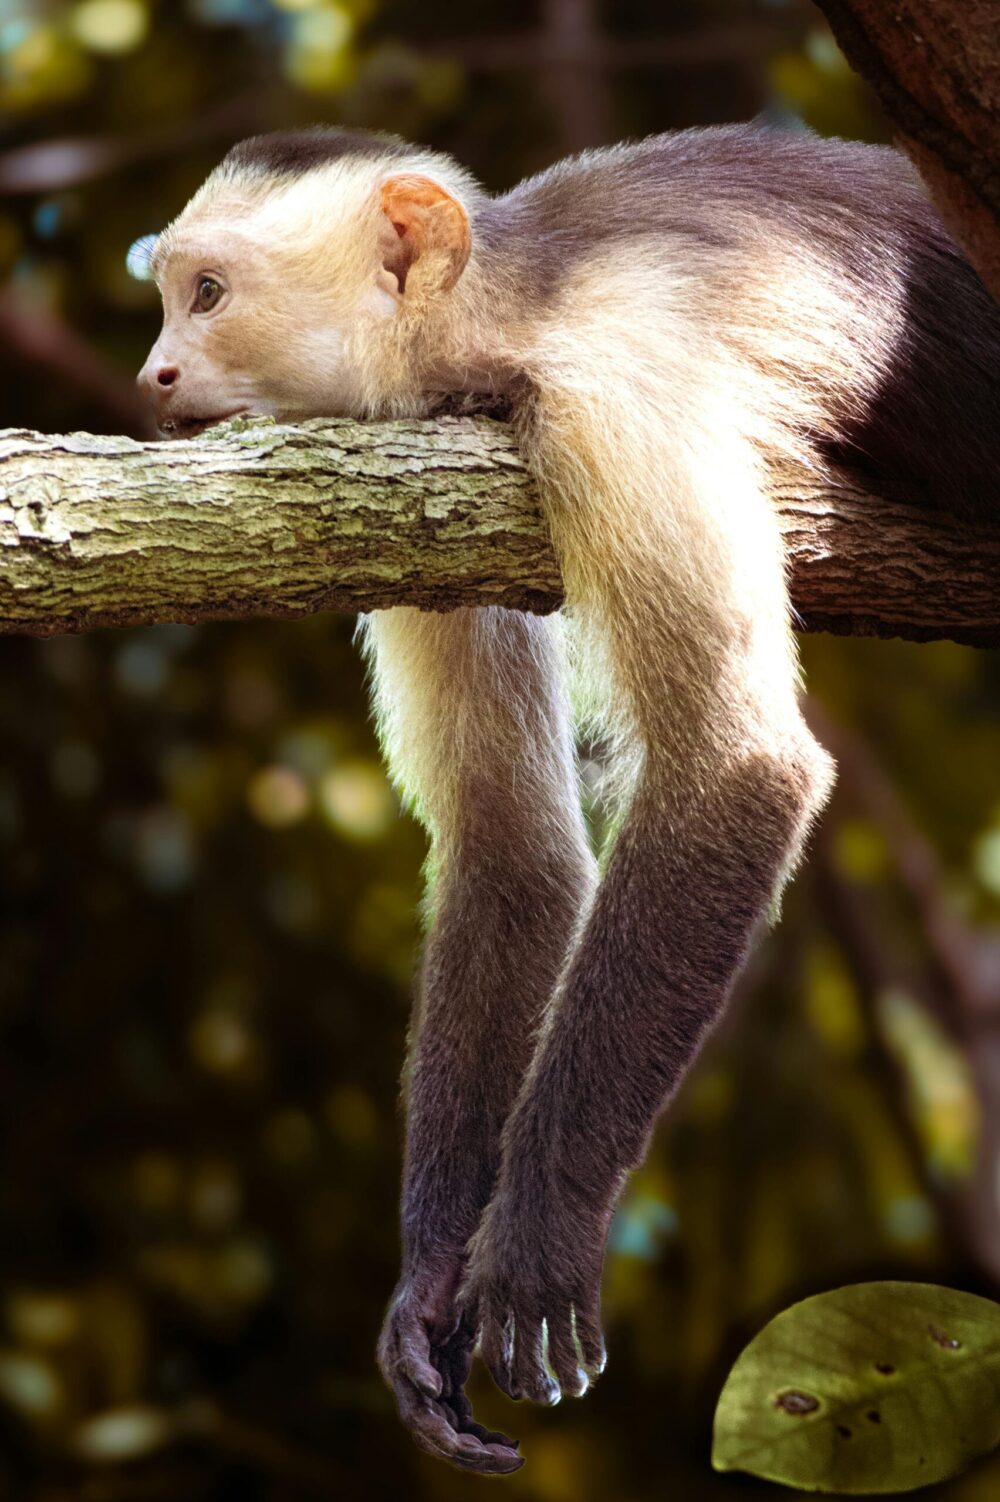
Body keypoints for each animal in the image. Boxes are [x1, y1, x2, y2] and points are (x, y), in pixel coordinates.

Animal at [136, 122, 1000, 1475]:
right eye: (171, 299)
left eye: (207, 294)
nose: (153, 370)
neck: (512, 316)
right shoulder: (428, 484)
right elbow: (512, 846)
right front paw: (429, 1281)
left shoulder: (619, 387)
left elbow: (734, 768)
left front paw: (540, 1230)